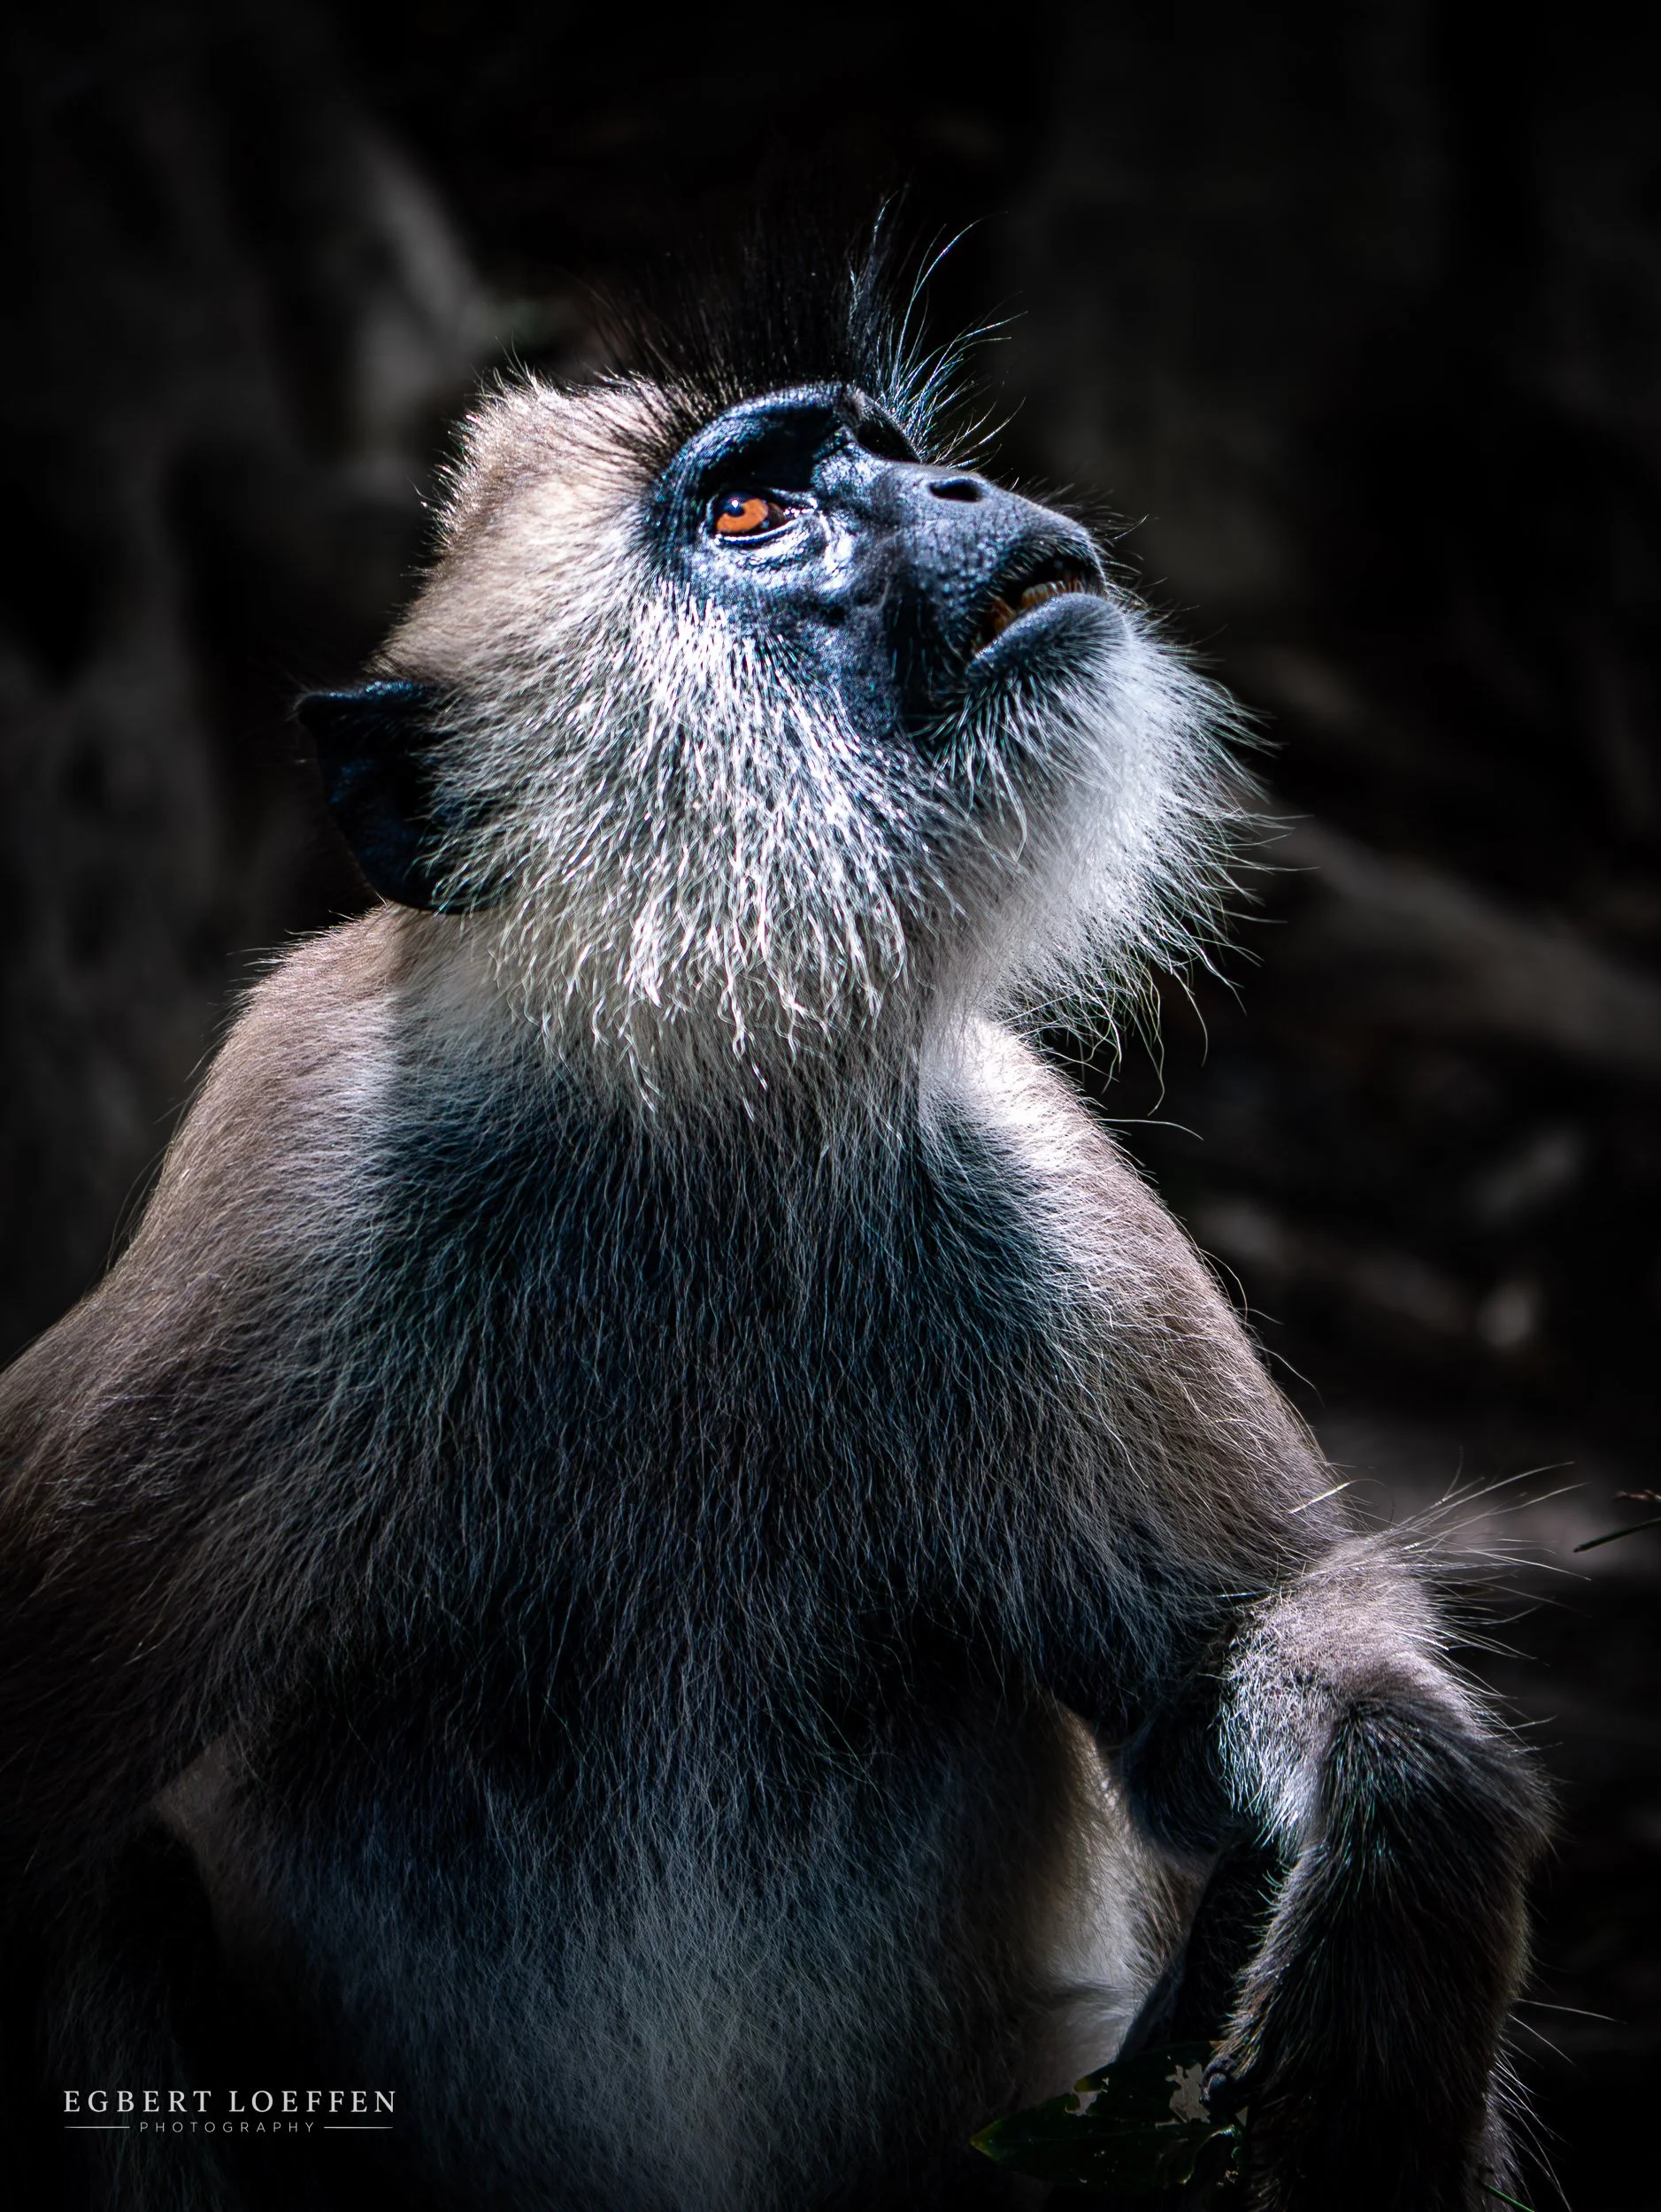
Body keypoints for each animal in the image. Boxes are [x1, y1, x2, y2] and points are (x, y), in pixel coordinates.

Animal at [0, 246, 1545, 2212]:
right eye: (753, 513)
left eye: (883, 451)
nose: (960, 487)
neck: (695, 1119)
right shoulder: (292, 1193)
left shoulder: (1021, 1180)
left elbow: (1229, 1697)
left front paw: (1400, 1824)